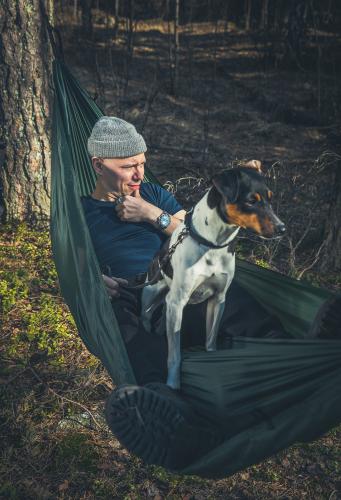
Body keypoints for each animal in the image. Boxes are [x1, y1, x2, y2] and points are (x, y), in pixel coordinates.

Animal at [140, 162, 284, 388]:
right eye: (251, 200)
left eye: (270, 199)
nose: (282, 229)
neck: (213, 245)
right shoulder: (178, 302)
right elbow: (175, 355)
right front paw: (173, 383)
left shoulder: (218, 299)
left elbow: (211, 340)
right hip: (150, 297)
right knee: (147, 319)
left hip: (169, 304)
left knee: (163, 317)